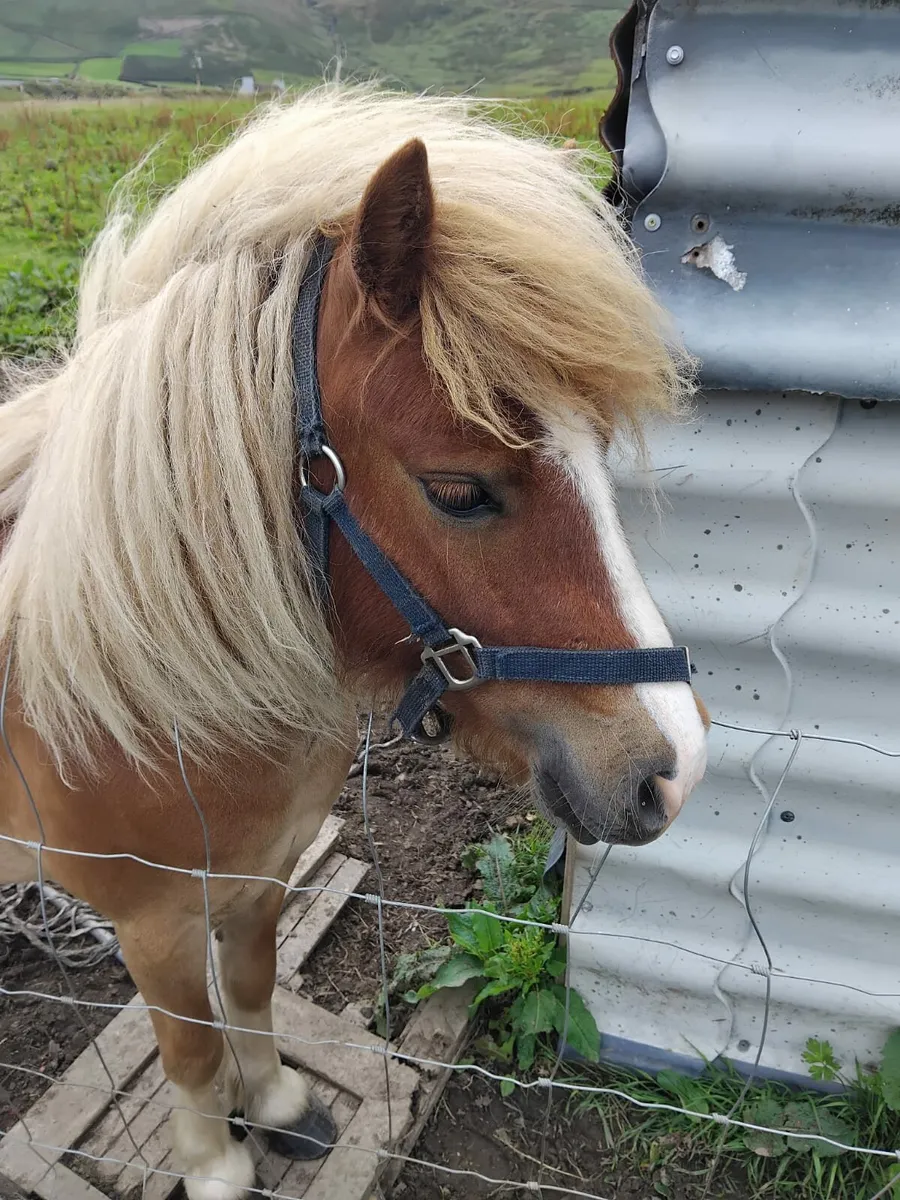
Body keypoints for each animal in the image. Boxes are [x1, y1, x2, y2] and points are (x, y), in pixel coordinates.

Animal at [0, 88, 709, 1200]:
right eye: (457, 490)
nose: (673, 769)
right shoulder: (152, 922)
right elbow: (189, 1047)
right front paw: (214, 1164)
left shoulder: (263, 877)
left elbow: (250, 989)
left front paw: (277, 1108)